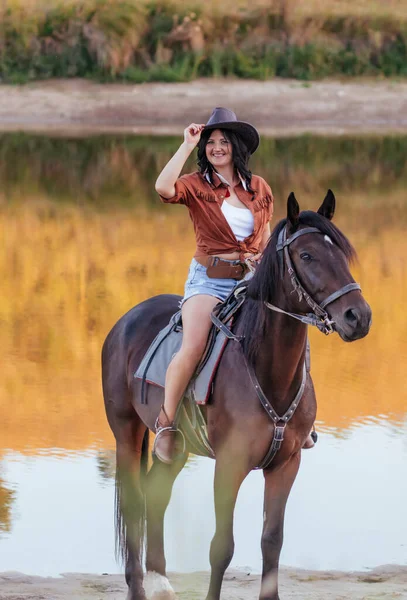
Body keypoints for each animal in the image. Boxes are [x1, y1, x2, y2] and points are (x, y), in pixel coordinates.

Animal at [101, 191, 372, 600]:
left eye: (341, 251)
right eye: (307, 255)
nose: (358, 317)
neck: (265, 368)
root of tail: (123, 322)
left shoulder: (286, 464)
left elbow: (272, 541)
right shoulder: (229, 465)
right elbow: (221, 547)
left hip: (177, 448)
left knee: (157, 494)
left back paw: (161, 580)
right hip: (126, 434)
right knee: (134, 503)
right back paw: (139, 585)